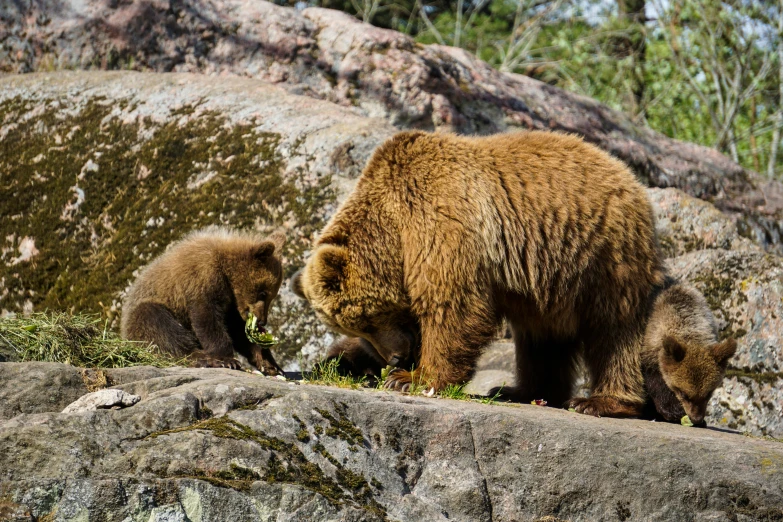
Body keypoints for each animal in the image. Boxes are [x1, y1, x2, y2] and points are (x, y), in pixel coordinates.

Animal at [290, 132, 664, 416]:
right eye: (357, 327)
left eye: (367, 319)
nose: (395, 357)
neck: (393, 229)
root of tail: (630, 178)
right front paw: (354, 360)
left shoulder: (440, 217)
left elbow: (453, 304)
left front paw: (410, 377)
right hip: (547, 281)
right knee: (541, 337)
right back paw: (522, 389)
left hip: (602, 254)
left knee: (613, 330)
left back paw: (600, 401)